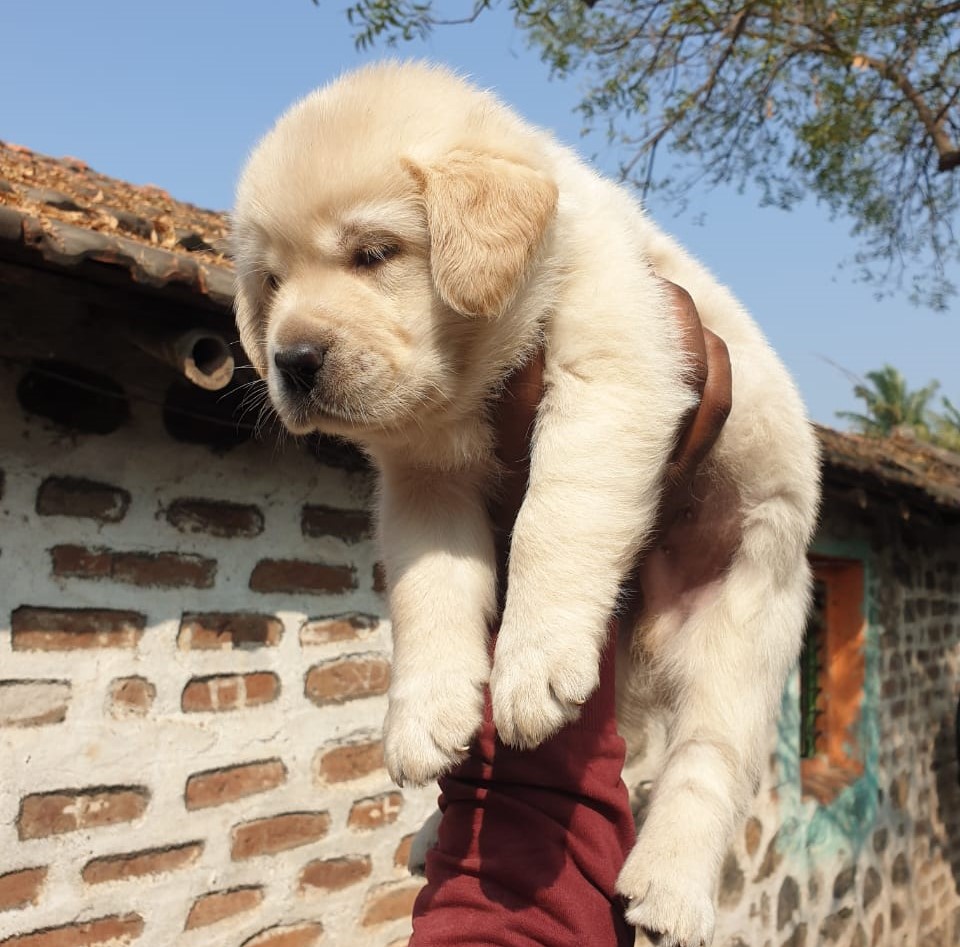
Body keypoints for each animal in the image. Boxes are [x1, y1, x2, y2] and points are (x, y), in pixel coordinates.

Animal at [231, 63, 816, 944]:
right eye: (272, 281)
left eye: (373, 253)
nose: (291, 360)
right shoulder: (421, 484)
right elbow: (429, 593)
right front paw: (426, 712)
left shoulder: (611, 371)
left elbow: (554, 518)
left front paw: (534, 663)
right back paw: (436, 830)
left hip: (747, 625)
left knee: (707, 763)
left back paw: (670, 887)